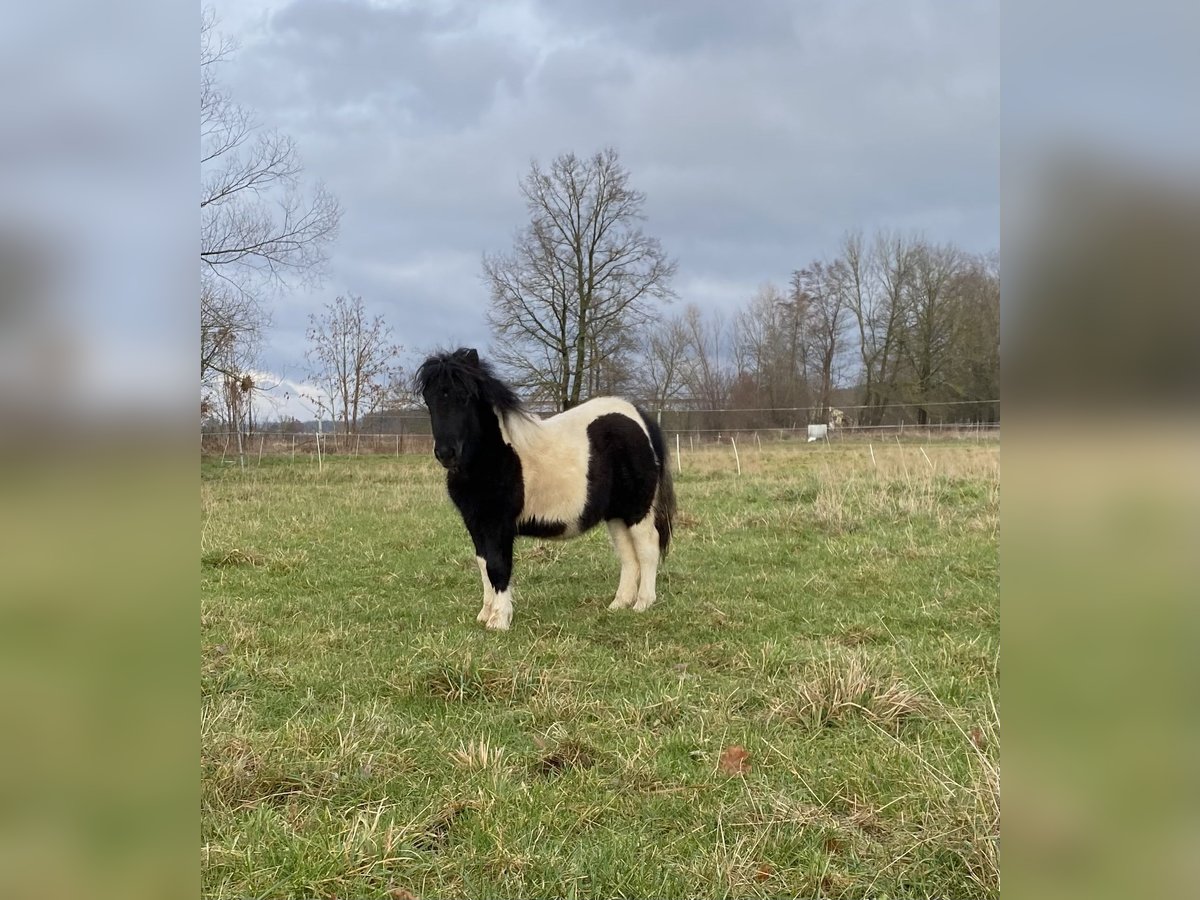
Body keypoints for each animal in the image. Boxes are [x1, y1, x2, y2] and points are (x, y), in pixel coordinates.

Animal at [417, 348, 676, 628]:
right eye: (429, 400)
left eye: (464, 397)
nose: (446, 453)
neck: (493, 455)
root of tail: (640, 418)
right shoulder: (476, 524)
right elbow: (484, 565)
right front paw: (486, 613)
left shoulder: (498, 525)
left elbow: (498, 566)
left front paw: (500, 620)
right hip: (617, 514)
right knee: (628, 554)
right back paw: (619, 604)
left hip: (638, 510)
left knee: (648, 548)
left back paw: (643, 604)